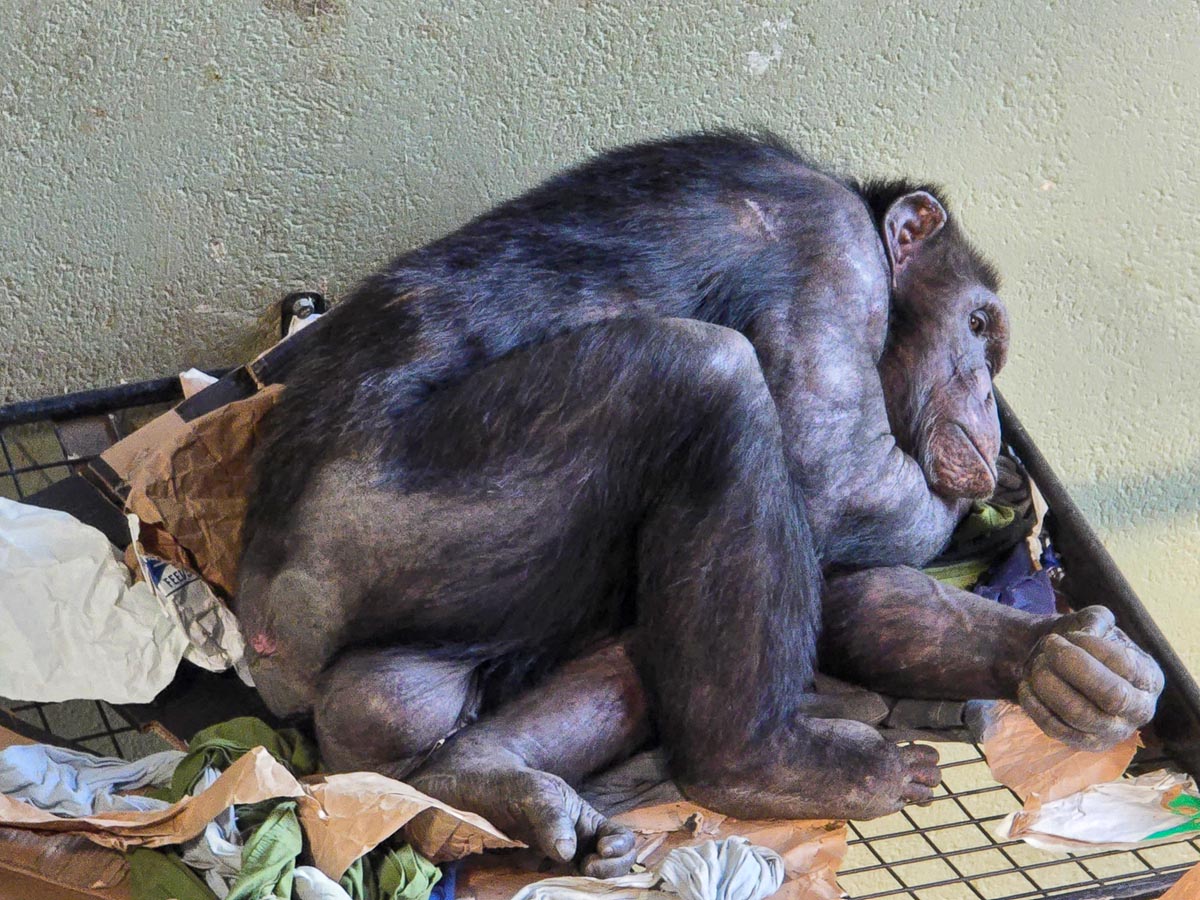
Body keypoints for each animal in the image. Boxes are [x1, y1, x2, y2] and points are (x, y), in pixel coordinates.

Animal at [235, 131, 1163, 878]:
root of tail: (267, 632)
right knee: (708, 378)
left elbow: (854, 597)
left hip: (414, 662)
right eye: (976, 327)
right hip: (397, 522)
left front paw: (1068, 661)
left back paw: (489, 781)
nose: (985, 408)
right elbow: (833, 478)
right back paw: (769, 767)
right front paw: (991, 502)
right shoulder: (834, 260)